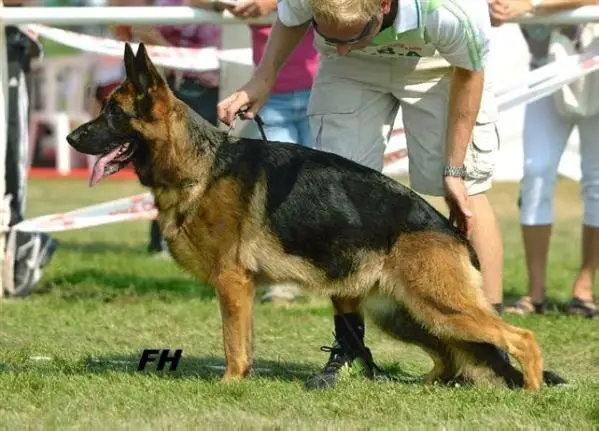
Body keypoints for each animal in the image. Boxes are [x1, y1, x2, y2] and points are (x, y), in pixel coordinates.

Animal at [68, 44, 564, 392]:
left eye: (113, 112)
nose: (72, 138)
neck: (200, 166)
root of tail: (451, 229)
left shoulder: (232, 282)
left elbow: (232, 344)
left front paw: (228, 383)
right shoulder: (242, 291)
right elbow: (244, 342)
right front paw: (243, 380)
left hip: (442, 307)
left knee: (520, 338)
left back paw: (532, 390)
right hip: (405, 315)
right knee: (447, 357)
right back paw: (416, 385)